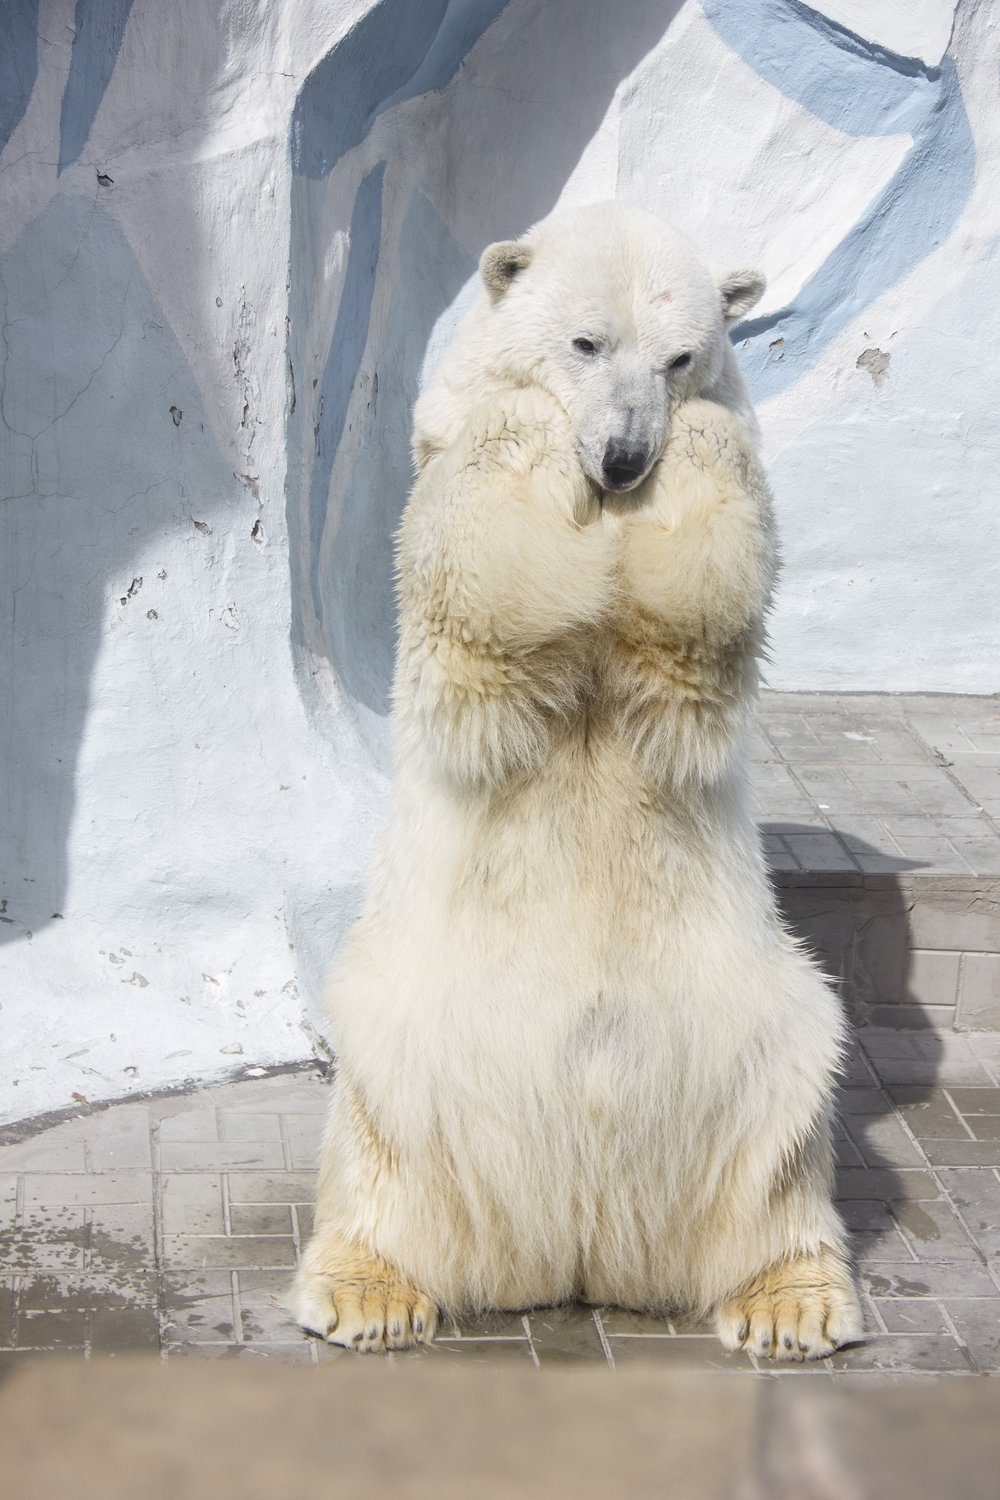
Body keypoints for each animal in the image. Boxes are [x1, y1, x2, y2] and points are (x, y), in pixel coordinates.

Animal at [293, 205, 863, 1368]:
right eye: (585, 343)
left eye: (679, 357)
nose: (623, 454)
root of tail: (580, 1242)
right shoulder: (441, 489)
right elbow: (483, 582)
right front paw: (532, 443)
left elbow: (701, 617)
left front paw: (693, 450)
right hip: (405, 1042)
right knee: (380, 1155)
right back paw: (370, 1292)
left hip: (759, 1031)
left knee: (786, 1131)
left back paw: (788, 1303)